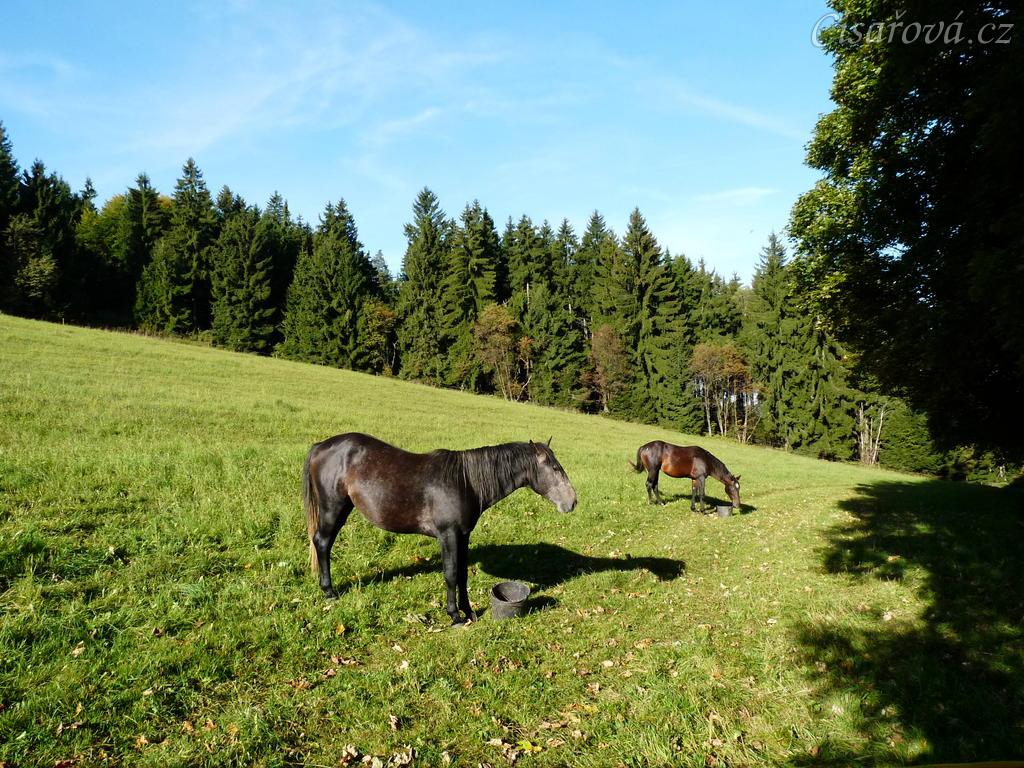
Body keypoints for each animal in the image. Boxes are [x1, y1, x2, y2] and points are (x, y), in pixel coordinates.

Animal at [303, 433, 577, 624]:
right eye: (555, 469)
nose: (572, 502)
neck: (465, 481)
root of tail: (321, 446)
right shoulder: (448, 535)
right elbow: (451, 575)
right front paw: (454, 615)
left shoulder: (463, 536)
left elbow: (463, 575)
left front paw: (469, 612)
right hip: (333, 507)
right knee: (323, 543)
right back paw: (329, 591)